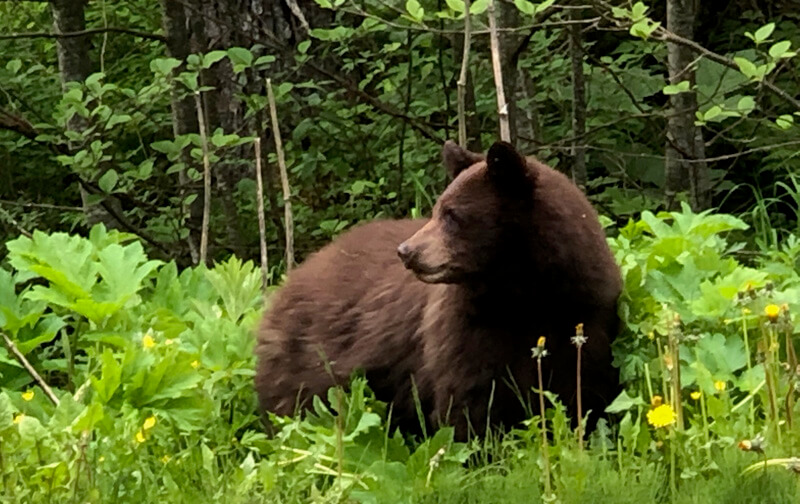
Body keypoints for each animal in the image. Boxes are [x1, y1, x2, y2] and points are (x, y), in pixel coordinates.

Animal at [256, 140, 624, 440]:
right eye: (436, 209)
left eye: (452, 214)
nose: (406, 251)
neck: (521, 295)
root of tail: (293, 277)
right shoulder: (466, 328)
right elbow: (469, 396)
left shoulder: (583, 316)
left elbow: (583, 388)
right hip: (307, 363)